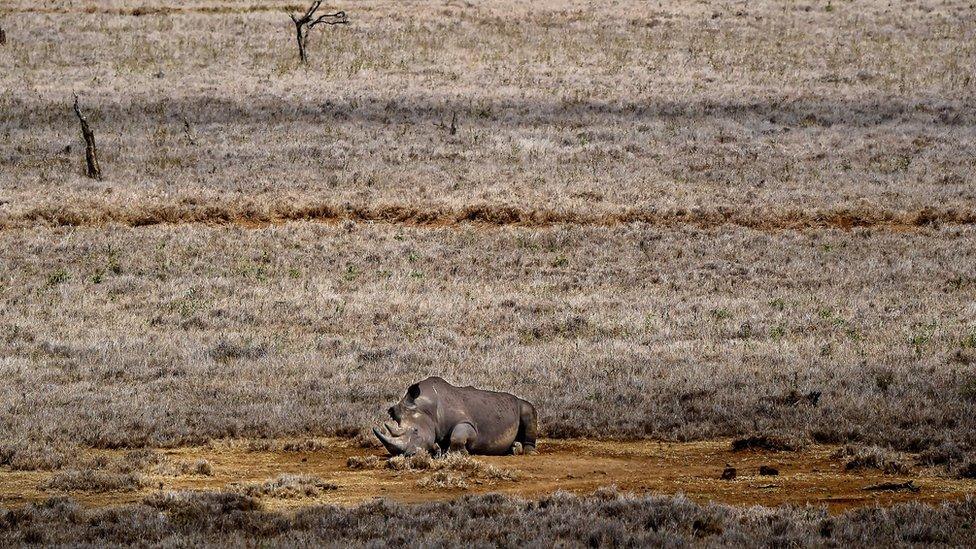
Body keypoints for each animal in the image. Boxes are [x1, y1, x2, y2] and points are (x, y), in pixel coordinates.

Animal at [376, 374, 540, 456]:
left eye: (415, 431)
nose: (407, 454)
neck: (427, 409)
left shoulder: (468, 423)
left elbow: (458, 436)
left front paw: (459, 454)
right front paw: (440, 453)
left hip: (521, 404)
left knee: (528, 410)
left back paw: (529, 453)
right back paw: (512, 450)